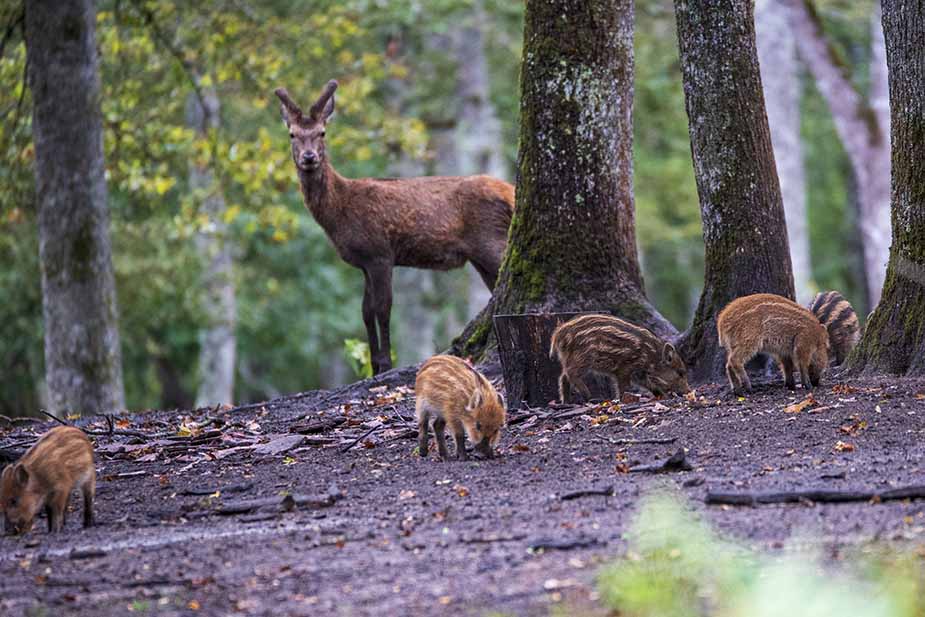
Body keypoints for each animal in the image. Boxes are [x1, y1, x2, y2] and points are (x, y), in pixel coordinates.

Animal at [278, 80, 516, 370]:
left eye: (322, 132)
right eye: (292, 134)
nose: (309, 157)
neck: (338, 215)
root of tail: (511, 191)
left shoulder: (380, 253)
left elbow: (383, 308)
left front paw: (385, 364)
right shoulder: (364, 262)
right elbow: (365, 311)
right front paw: (374, 366)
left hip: (492, 240)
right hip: (481, 255)